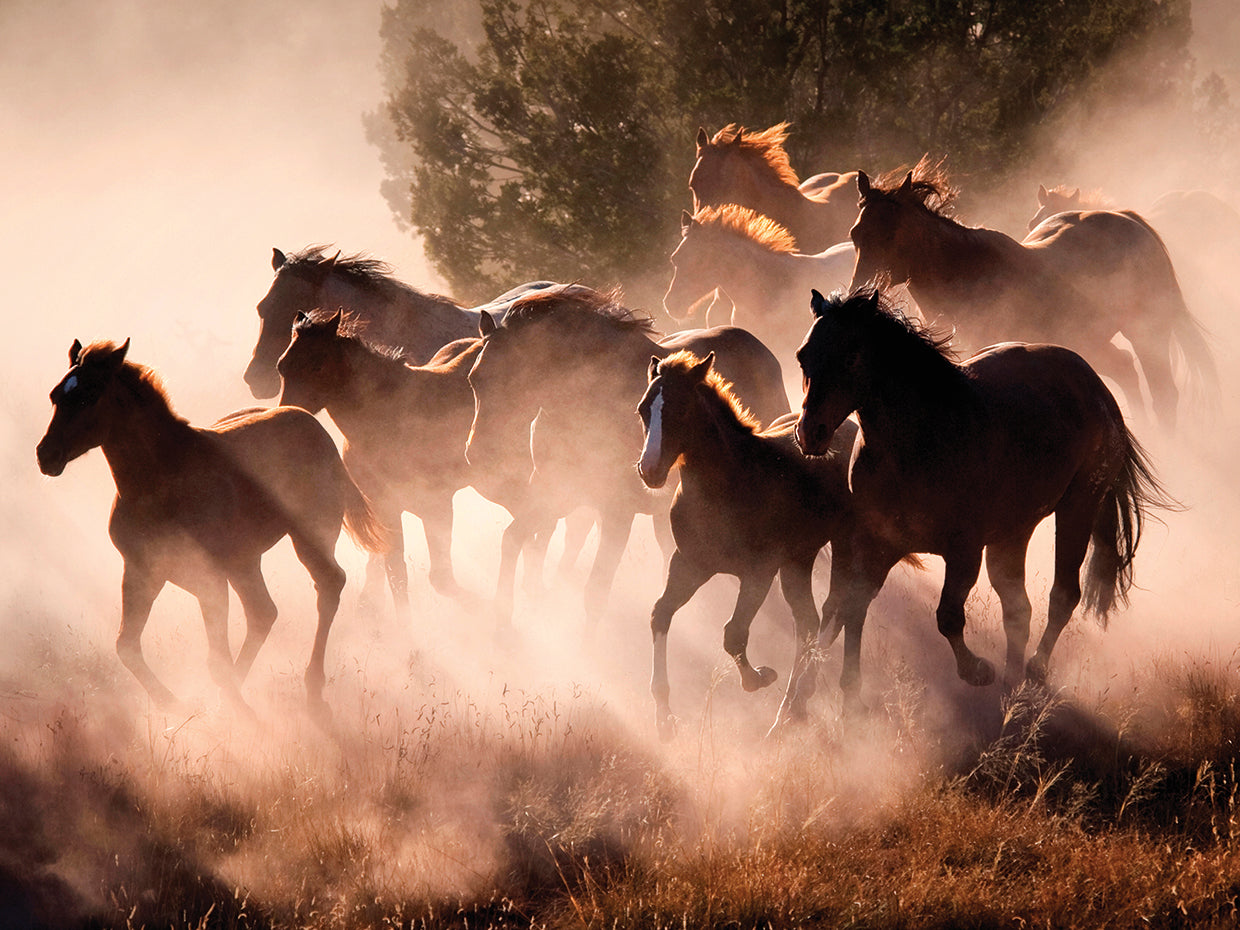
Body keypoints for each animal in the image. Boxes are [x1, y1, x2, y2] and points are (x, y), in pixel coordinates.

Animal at [36, 339, 385, 720]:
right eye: (56, 395)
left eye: (90, 396)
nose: (46, 455)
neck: (160, 479)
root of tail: (313, 426)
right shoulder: (143, 571)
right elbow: (127, 645)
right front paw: (177, 706)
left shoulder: (209, 579)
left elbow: (216, 662)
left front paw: (238, 714)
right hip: (245, 561)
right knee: (263, 612)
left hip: (309, 536)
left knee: (328, 586)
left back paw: (312, 690)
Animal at [466, 286, 791, 628]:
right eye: (474, 379)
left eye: (514, 380)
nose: (479, 454)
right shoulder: (558, 496)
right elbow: (513, 540)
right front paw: (502, 621)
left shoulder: (616, 513)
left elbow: (595, 590)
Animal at [636, 350, 856, 739]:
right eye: (644, 409)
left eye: (681, 408)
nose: (650, 470)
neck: (730, 482)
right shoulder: (689, 563)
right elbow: (660, 614)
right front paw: (664, 717)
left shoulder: (758, 572)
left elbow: (734, 634)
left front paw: (759, 677)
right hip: (798, 560)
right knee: (808, 623)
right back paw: (790, 713)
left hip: (844, 548)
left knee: (836, 614)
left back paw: (796, 703)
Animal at [789, 288, 1174, 715]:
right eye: (804, 356)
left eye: (852, 356)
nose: (810, 433)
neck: (919, 440)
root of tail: (1096, 386)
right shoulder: (876, 545)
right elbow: (850, 607)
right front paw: (844, 695)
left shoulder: (964, 551)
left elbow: (947, 616)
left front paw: (977, 670)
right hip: (1012, 534)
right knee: (1018, 608)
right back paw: (1011, 684)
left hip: (1078, 507)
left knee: (1063, 595)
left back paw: (1034, 671)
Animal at [849, 165, 1216, 430]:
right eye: (855, 234)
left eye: (893, 235)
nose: (861, 291)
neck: (966, 271)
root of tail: (1130, 220)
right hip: (1091, 340)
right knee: (1126, 370)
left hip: (1146, 332)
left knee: (1163, 393)